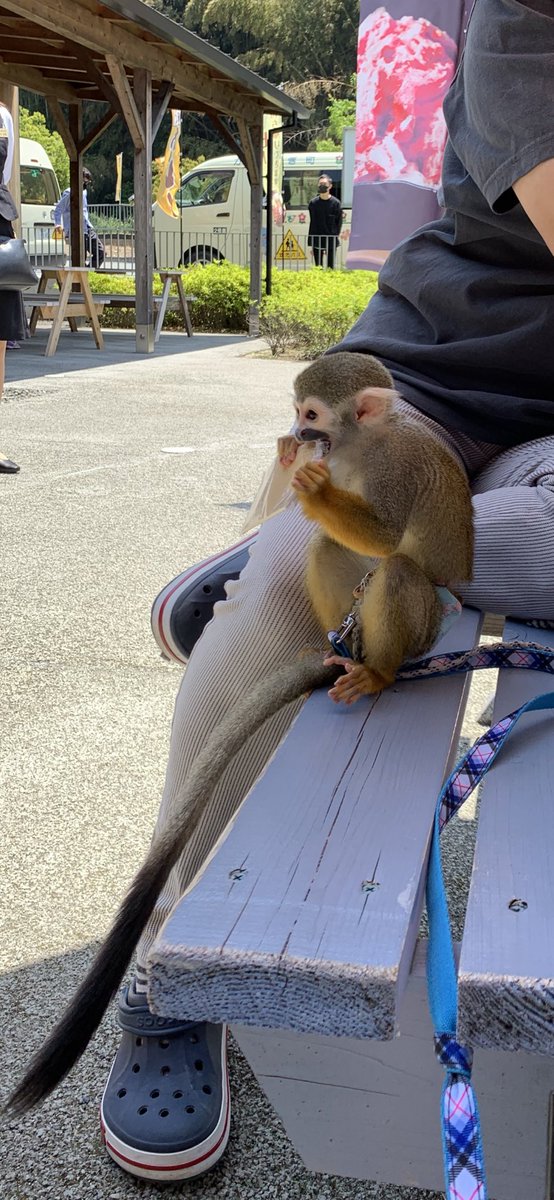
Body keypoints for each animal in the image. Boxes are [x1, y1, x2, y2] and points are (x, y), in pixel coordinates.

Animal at [8, 350, 474, 1113]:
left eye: (312, 412)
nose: (299, 435)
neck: (359, 447)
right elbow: (336, 536)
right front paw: (295, 473)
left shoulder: (393, 467)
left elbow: (385, 535)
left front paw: (313, 486)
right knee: (331, 551)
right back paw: (333, 648)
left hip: (432, 618)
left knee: (398, 568)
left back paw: (376, 670)